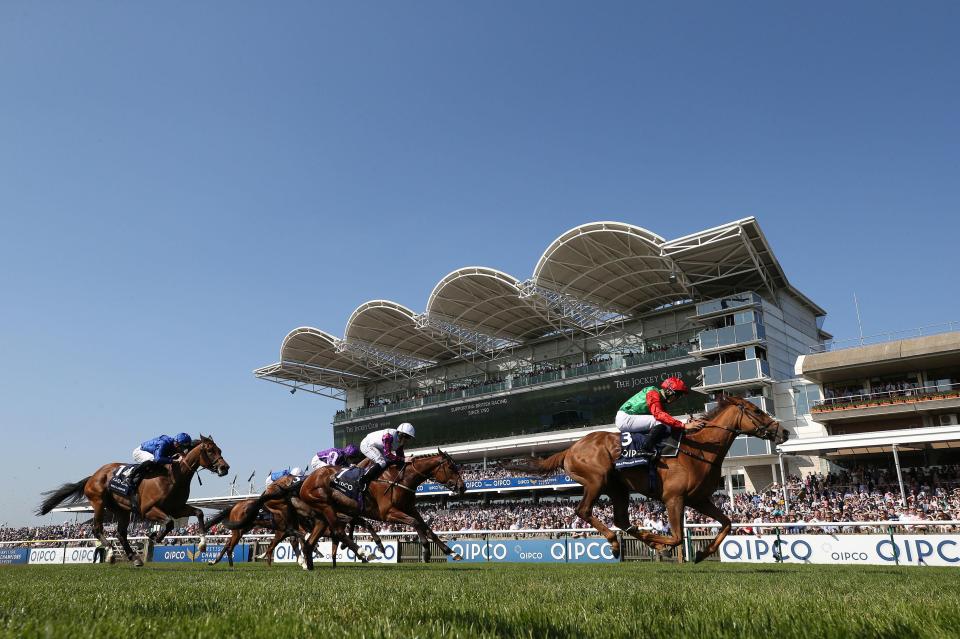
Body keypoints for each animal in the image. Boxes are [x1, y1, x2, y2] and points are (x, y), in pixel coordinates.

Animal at [36, 438, 232, 568]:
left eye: (220, 450)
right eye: (210, 450)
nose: (225, 467)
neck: (174, 475)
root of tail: (93, 475)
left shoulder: (176, 508)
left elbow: (198, 513)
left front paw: (202, 544)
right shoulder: (148, 509)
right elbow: (168, 523)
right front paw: (154, 536)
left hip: (121, 509)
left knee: (121, 534)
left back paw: (134, 557)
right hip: (98, 502)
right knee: (97, 529)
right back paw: (111, 553)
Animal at [506, 398, 784, 564]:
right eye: (757, 411)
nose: (783, 431)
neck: (699, 450)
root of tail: (570, 448)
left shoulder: (699, 499)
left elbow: (727, 523)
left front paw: (702, 552)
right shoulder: (674, 498)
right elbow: (676, 537)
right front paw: (660, 544)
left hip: (618, 489)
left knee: (621, 519)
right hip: (596, 479)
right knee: (584, 511)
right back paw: (615, 542)